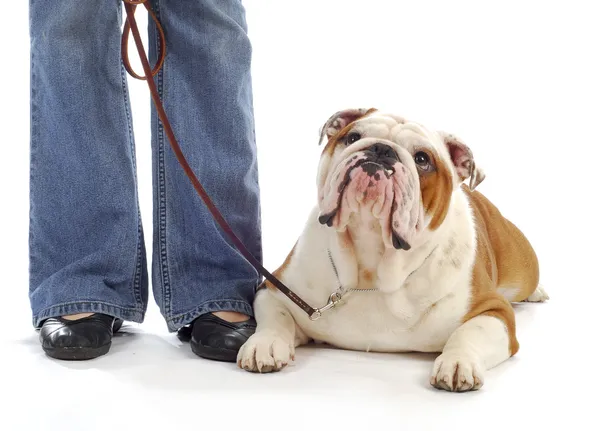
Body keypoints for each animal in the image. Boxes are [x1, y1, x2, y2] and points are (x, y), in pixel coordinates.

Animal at [237, 107, 548, 392]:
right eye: (352, 137)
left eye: (422, 159)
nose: (381, 149)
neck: (372, 265)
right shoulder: (274, 289)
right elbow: (275, 318)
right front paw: (264, 344)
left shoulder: (493, 310)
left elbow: (469, 334)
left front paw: (458, 362)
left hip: (521, 266)